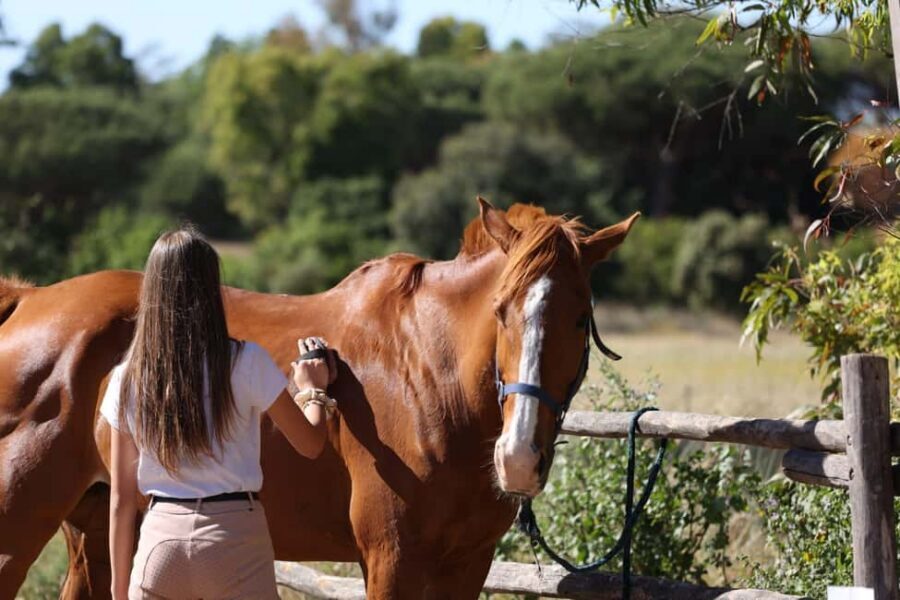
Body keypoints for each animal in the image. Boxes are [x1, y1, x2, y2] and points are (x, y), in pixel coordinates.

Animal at [0, 199, 638, 599]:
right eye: (502, 312)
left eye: (580, 319)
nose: (519, 457)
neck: (429, 375)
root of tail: (26, 302)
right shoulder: (391, 559)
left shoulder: (466, 563)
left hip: (98, 529)